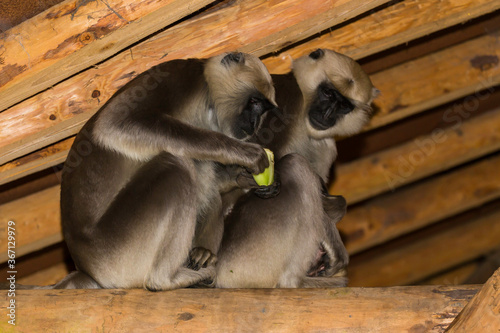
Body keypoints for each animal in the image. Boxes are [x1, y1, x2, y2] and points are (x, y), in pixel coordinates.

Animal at [57, 50, 282, 290]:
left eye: (262, 109)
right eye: (254, 102)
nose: (254, 122)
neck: (208, 99)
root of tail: (86, 267)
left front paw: (245, 177)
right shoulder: (178, 74)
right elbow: (115, 123)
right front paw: (245, 154)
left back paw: (203, 253)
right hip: (115, 252)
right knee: (176, 163)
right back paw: (166, 279)